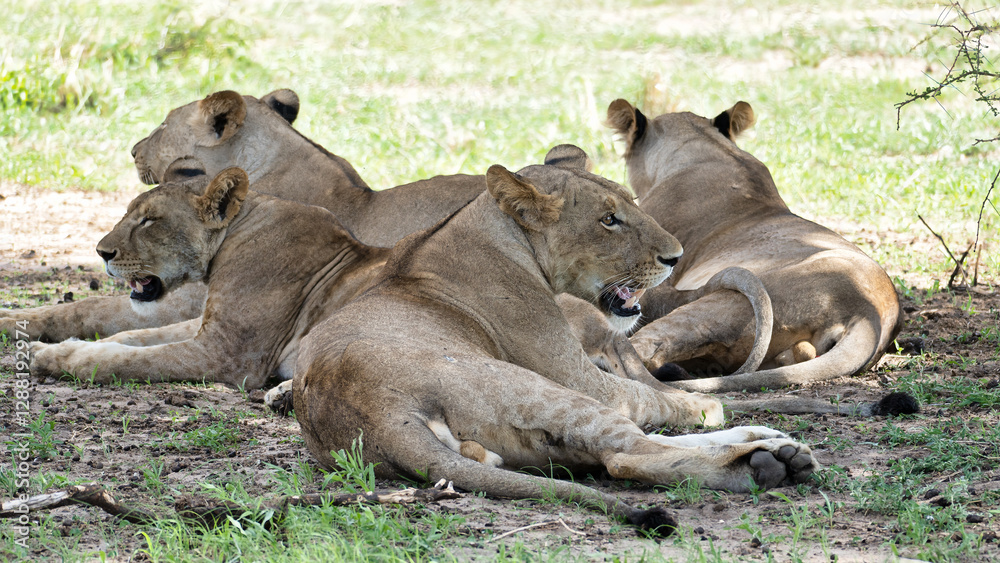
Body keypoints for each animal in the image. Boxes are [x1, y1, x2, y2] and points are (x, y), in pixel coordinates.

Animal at [29, 168, 389, 389]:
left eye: (149, 220)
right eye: (128, 213)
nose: (101, 252)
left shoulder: (226, 354)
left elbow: (130, 360)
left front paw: (57, 357)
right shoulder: (207, 324)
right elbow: (135, 336)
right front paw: (48, 347)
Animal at [291, 161, 818, 534]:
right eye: (609, 219)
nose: (676, 257)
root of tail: (377, 419)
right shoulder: (576, 374)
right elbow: (655, 397)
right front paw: (705, 405)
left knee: (620, 449)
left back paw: (768, 442)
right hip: (543, 392)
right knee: (627, 455)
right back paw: (766, 464)